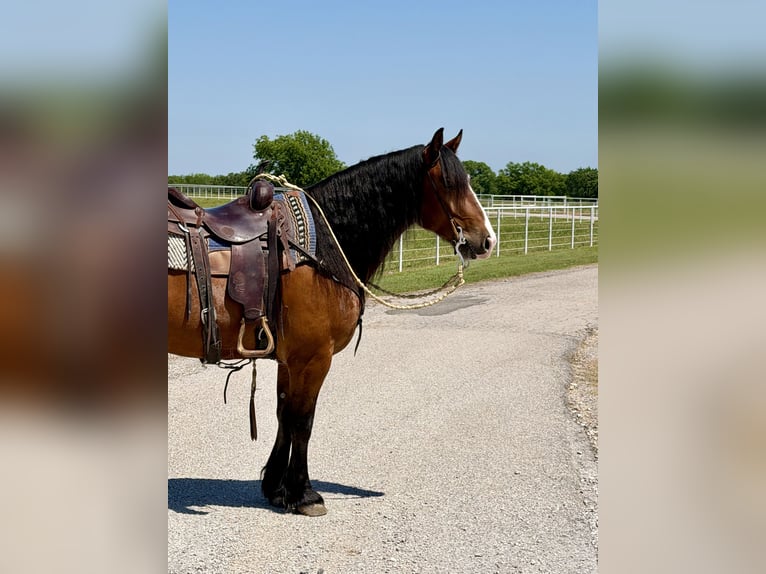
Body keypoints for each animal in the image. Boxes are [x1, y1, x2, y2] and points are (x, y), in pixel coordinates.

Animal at [168, 128, 497, 516]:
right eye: (448, 183)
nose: (487, 240)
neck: (325, 245)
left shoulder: (290, 359)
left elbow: (284, 414)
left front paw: (276, 488)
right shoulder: (314, 357)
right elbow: (303, 421)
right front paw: (304, 493)